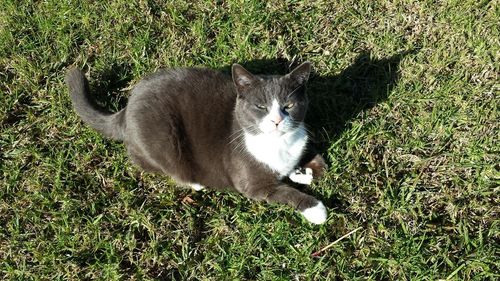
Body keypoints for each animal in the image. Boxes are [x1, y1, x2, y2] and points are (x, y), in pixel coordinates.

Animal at [66, 61, 330, 223]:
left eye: (289, 106)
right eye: (261, 107)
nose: (276, 120)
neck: (278, 144)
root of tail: (127, 107)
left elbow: (316, 163)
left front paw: (303, 171)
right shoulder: (253, 184)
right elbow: (283, 191)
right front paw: (316, 209)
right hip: (162, 138)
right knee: (145, 160)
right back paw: (194, 182)